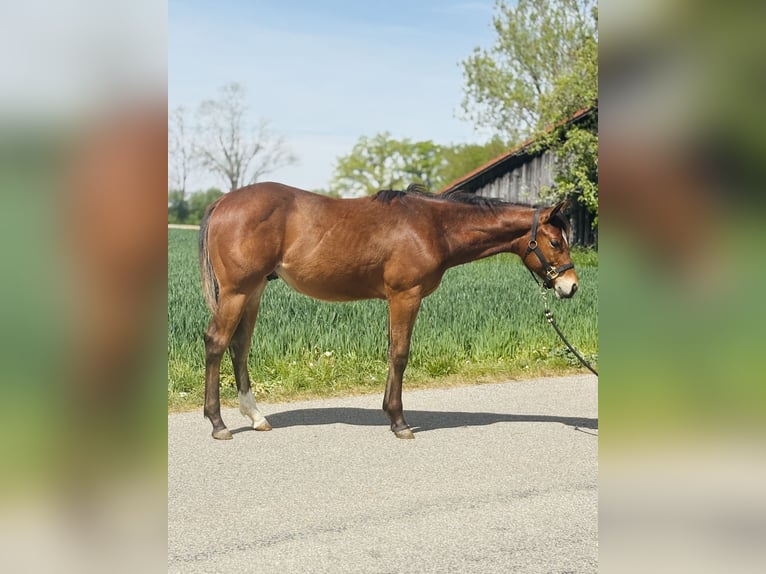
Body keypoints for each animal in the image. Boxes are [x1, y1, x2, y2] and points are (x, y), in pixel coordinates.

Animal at [198, 182, 579, 440]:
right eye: (555, 242)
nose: (571, 286)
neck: (433, 226)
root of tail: (223, 201)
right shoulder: (404, 296)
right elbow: (399, 353)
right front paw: (399, 421)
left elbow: (394, 352)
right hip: (237, 292)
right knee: (216, 342)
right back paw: (218, 423)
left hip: (254, 291)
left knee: (239, 347)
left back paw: (255, 416)